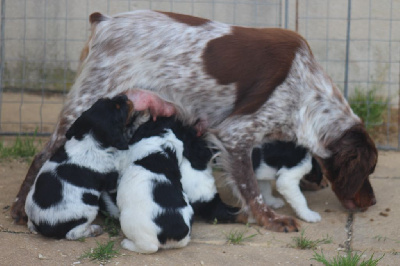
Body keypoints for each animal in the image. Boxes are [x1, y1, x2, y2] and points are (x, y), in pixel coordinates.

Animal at [24, 95, 132, 239]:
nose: (125, 96)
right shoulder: (111, 179)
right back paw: (93, 230)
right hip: (88, 210)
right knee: (73, 233)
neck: (90, 140)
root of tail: (41, 224)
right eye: (118, 108)